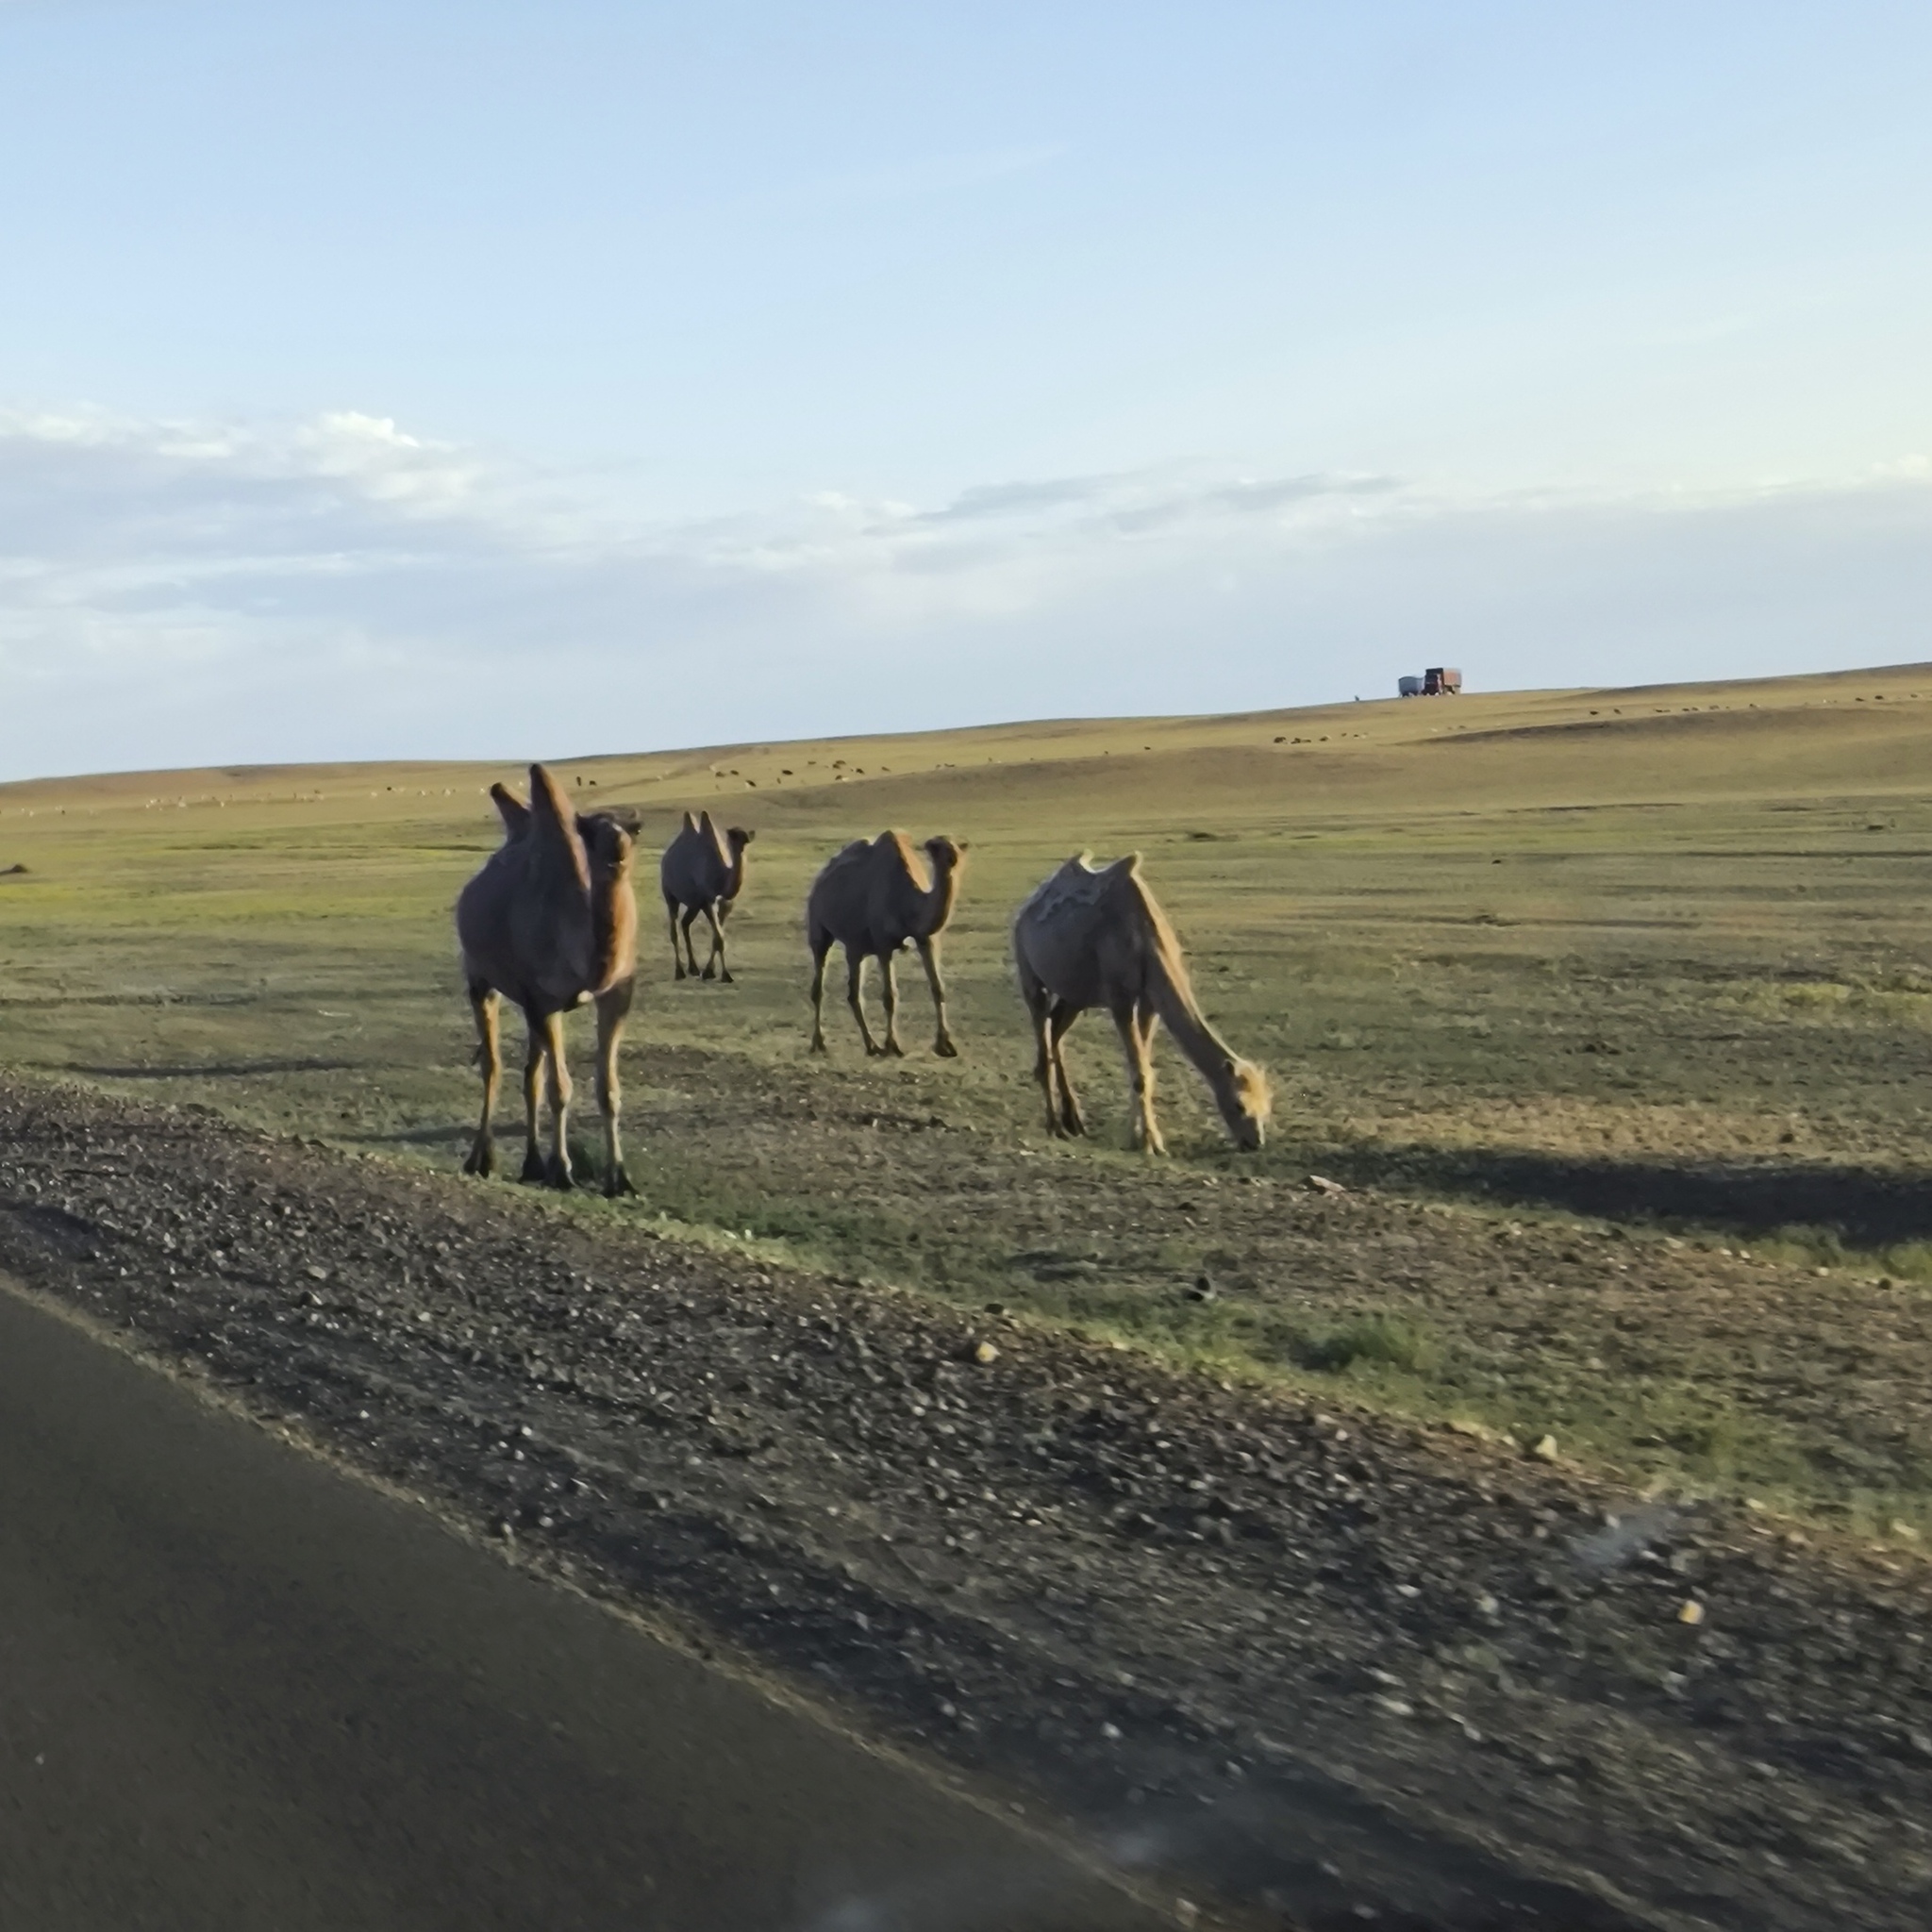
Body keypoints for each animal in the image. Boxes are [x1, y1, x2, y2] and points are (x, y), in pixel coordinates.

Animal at [454, 765, 637, 1190]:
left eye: (634, 827)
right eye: (593, 831)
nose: (618, 849)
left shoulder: (617, 993)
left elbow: (608, 1089)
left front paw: (618, 1178)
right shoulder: (545, 1000)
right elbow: (560, 1089)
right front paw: (562, 1170)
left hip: (526, 1002)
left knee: (529, 1074)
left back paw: (532, 1163)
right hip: (481, 979)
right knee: (493, 1064)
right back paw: (481, 1159)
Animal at [660, 808, 757, 981]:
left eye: (744, 834)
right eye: (734, 834)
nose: (747, 837)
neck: (721, 876)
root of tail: (666, 856)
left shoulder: (726, 903)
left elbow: (717, 938)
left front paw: (709, 972)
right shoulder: (707, 901)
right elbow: (719, 938)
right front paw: (725, 975)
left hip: (693, 903)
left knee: (685, 923)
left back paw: (693, 968)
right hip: (669, 893)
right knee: (674, 929)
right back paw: (679, 972)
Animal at [808, 830, 974, 1058]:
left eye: (956, 846)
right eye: (936, 847)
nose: (953, 858)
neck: (908, 902)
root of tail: (820, 878)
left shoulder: (926, 939)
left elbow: (938, 988)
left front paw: (945, 1045)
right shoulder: (884, 945)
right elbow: (890, 996)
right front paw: (893, 1045)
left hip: (857, 947)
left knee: (854, 992)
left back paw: (870, 1045)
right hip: (818, 927)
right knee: (819, 985)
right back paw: (819, 1043)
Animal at [1012, 858, 1267, 1151]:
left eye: (1266, 1107)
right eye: (1239, 1104)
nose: (1256, 1142)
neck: (1147, 939)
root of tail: (1024, 910)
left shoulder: (1149, 1001)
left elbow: (1143, 1068)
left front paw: (1137, 1134)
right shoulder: (1120, 998)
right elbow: (1140, 1074)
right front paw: (1149, 1141)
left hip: (1075, 991)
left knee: (1056, 1029)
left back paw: (1073, 1120)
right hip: (1029, 970)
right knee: (1042, 1027)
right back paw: (1054, 1125)